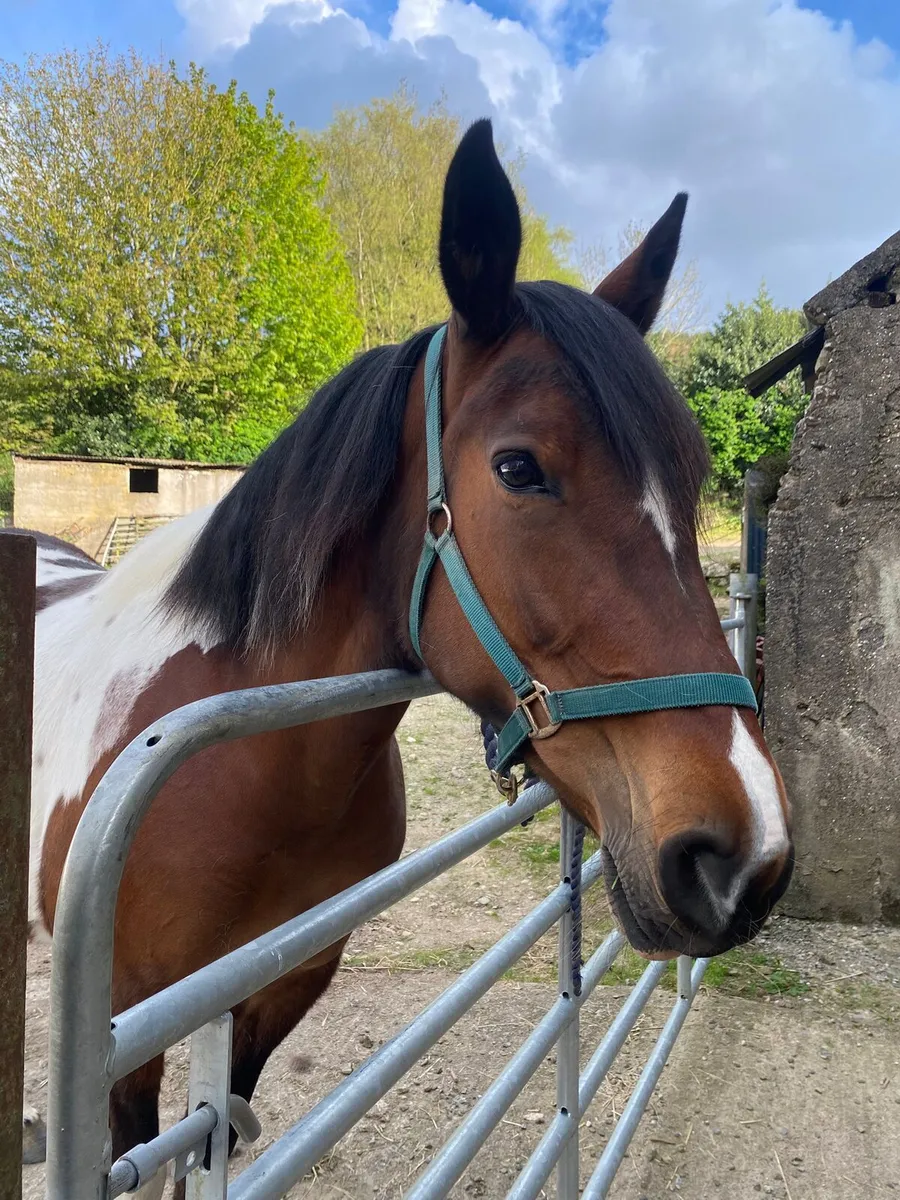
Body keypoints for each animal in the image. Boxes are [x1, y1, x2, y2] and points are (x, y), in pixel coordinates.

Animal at [11, 119, 793, 1198]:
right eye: (518, 468)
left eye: (694, 476)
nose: (744, 855)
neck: (238, 763)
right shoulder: (129, 1024)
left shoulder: (282, 981)